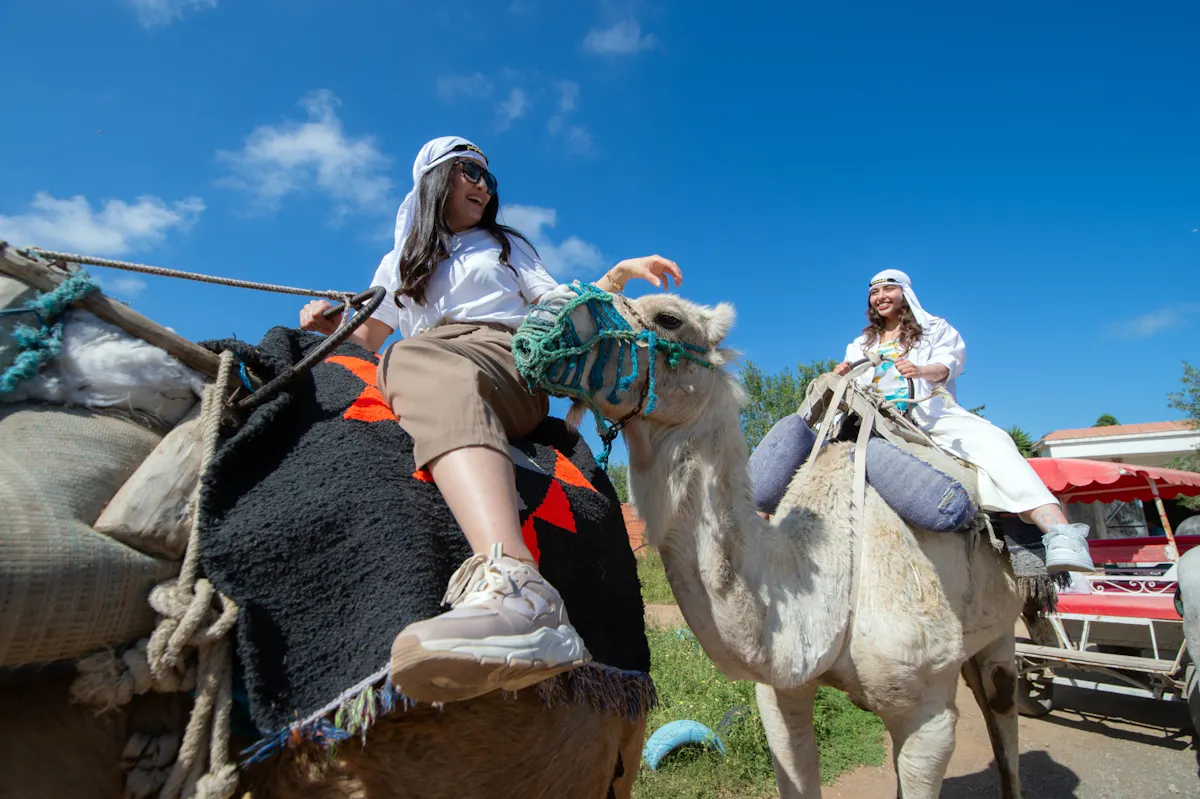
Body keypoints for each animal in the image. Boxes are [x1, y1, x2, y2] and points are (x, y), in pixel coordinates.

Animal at [517, 285, 1026, 799]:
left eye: (669, 318)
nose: (542, 314)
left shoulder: (929, 714)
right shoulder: (781, 696)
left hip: (1001, 629)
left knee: (1001, 707)